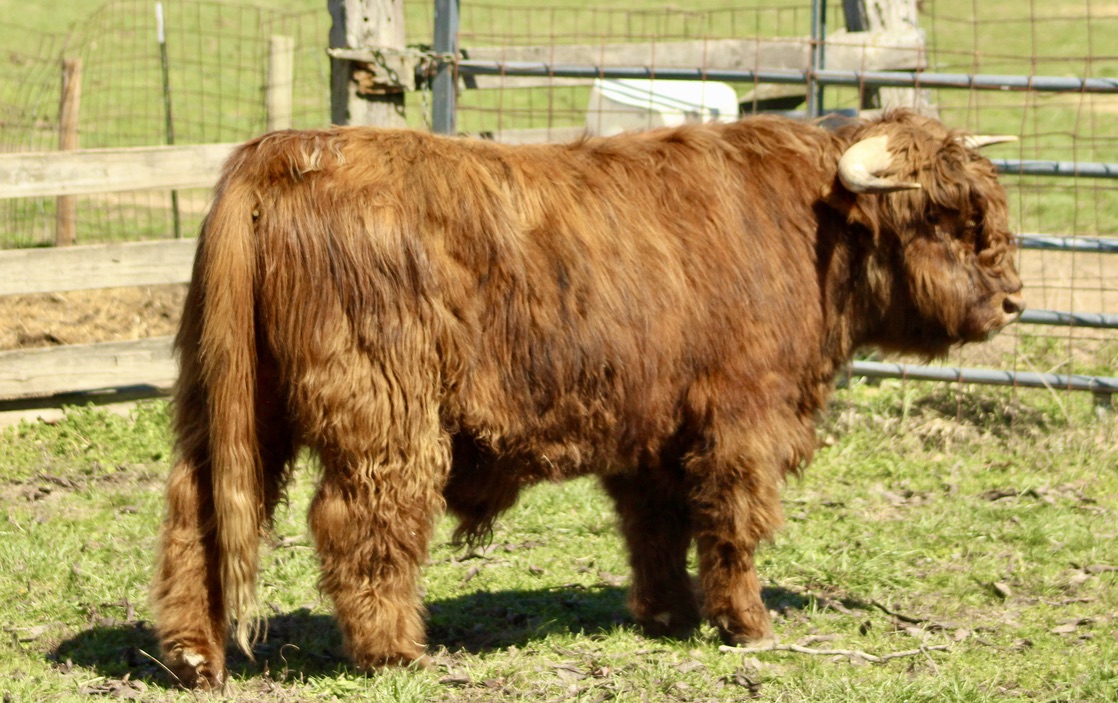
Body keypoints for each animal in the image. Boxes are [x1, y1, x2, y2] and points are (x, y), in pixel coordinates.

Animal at [151, 110, 1024, 689]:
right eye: (944, 214)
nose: (1013, 300)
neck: (806, 233)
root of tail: (281, 152)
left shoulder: (655, 429)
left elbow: (655, 528)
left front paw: (667, 615)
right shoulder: (743, 415)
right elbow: (733, 523)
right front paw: (747, 624)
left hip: (228, 402)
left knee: (198, 512)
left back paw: (195, 654)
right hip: (384, 412)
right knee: (364, 518)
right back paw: (396, 651)